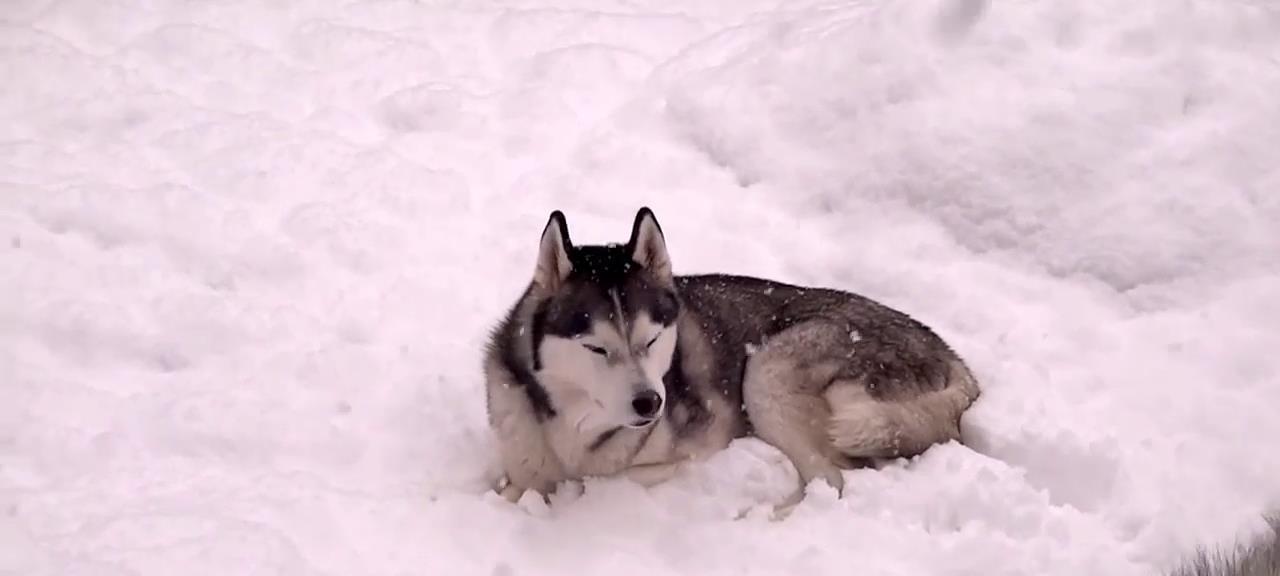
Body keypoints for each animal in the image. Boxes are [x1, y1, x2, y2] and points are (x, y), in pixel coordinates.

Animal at [483, 208, 983, 512]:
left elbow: (597, 483)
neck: (575, 425)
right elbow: (515, 483)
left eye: (651, 339)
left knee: (834, 479)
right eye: (596, 347)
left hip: (769, 371)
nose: (650, 404)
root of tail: (956, 362)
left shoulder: (695, 450)